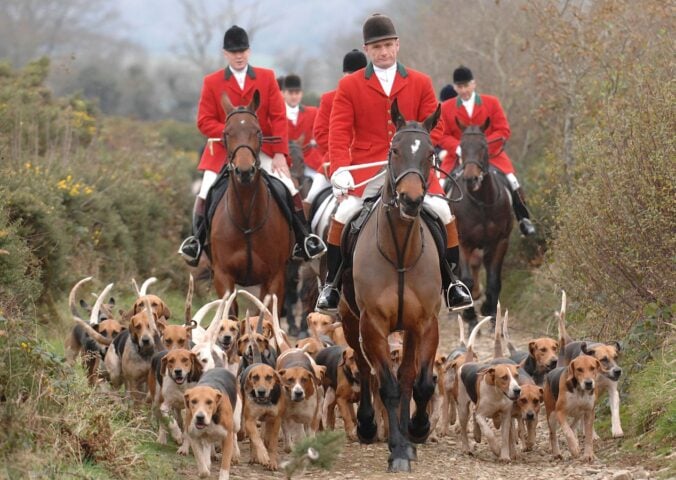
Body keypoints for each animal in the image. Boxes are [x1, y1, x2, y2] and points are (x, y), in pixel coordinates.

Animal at [210, 92, 292, 306]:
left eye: (257, 131)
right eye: (227, 133)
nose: (245, 171)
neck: (246, 217)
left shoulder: (274, 278)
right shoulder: (223, 277)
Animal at [338, 101, 444, 472]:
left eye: (430, 152)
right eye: (394, 150)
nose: (410, 200)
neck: (400, 250)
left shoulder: (423, 323)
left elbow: (418, 382)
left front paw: (416, 430)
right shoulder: (373, 324)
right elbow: (389, 385)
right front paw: (397, 449)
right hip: (350, 319)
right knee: (364, 367)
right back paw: (369, 425)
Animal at [448, 117, 512, 326]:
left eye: (483, 146)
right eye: (461, 146)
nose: (471, 178)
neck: (482, 203)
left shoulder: (500, 241)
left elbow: (494, 280)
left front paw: (490, 311)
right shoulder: (462, 242)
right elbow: (466, 279)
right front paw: (470, 316)